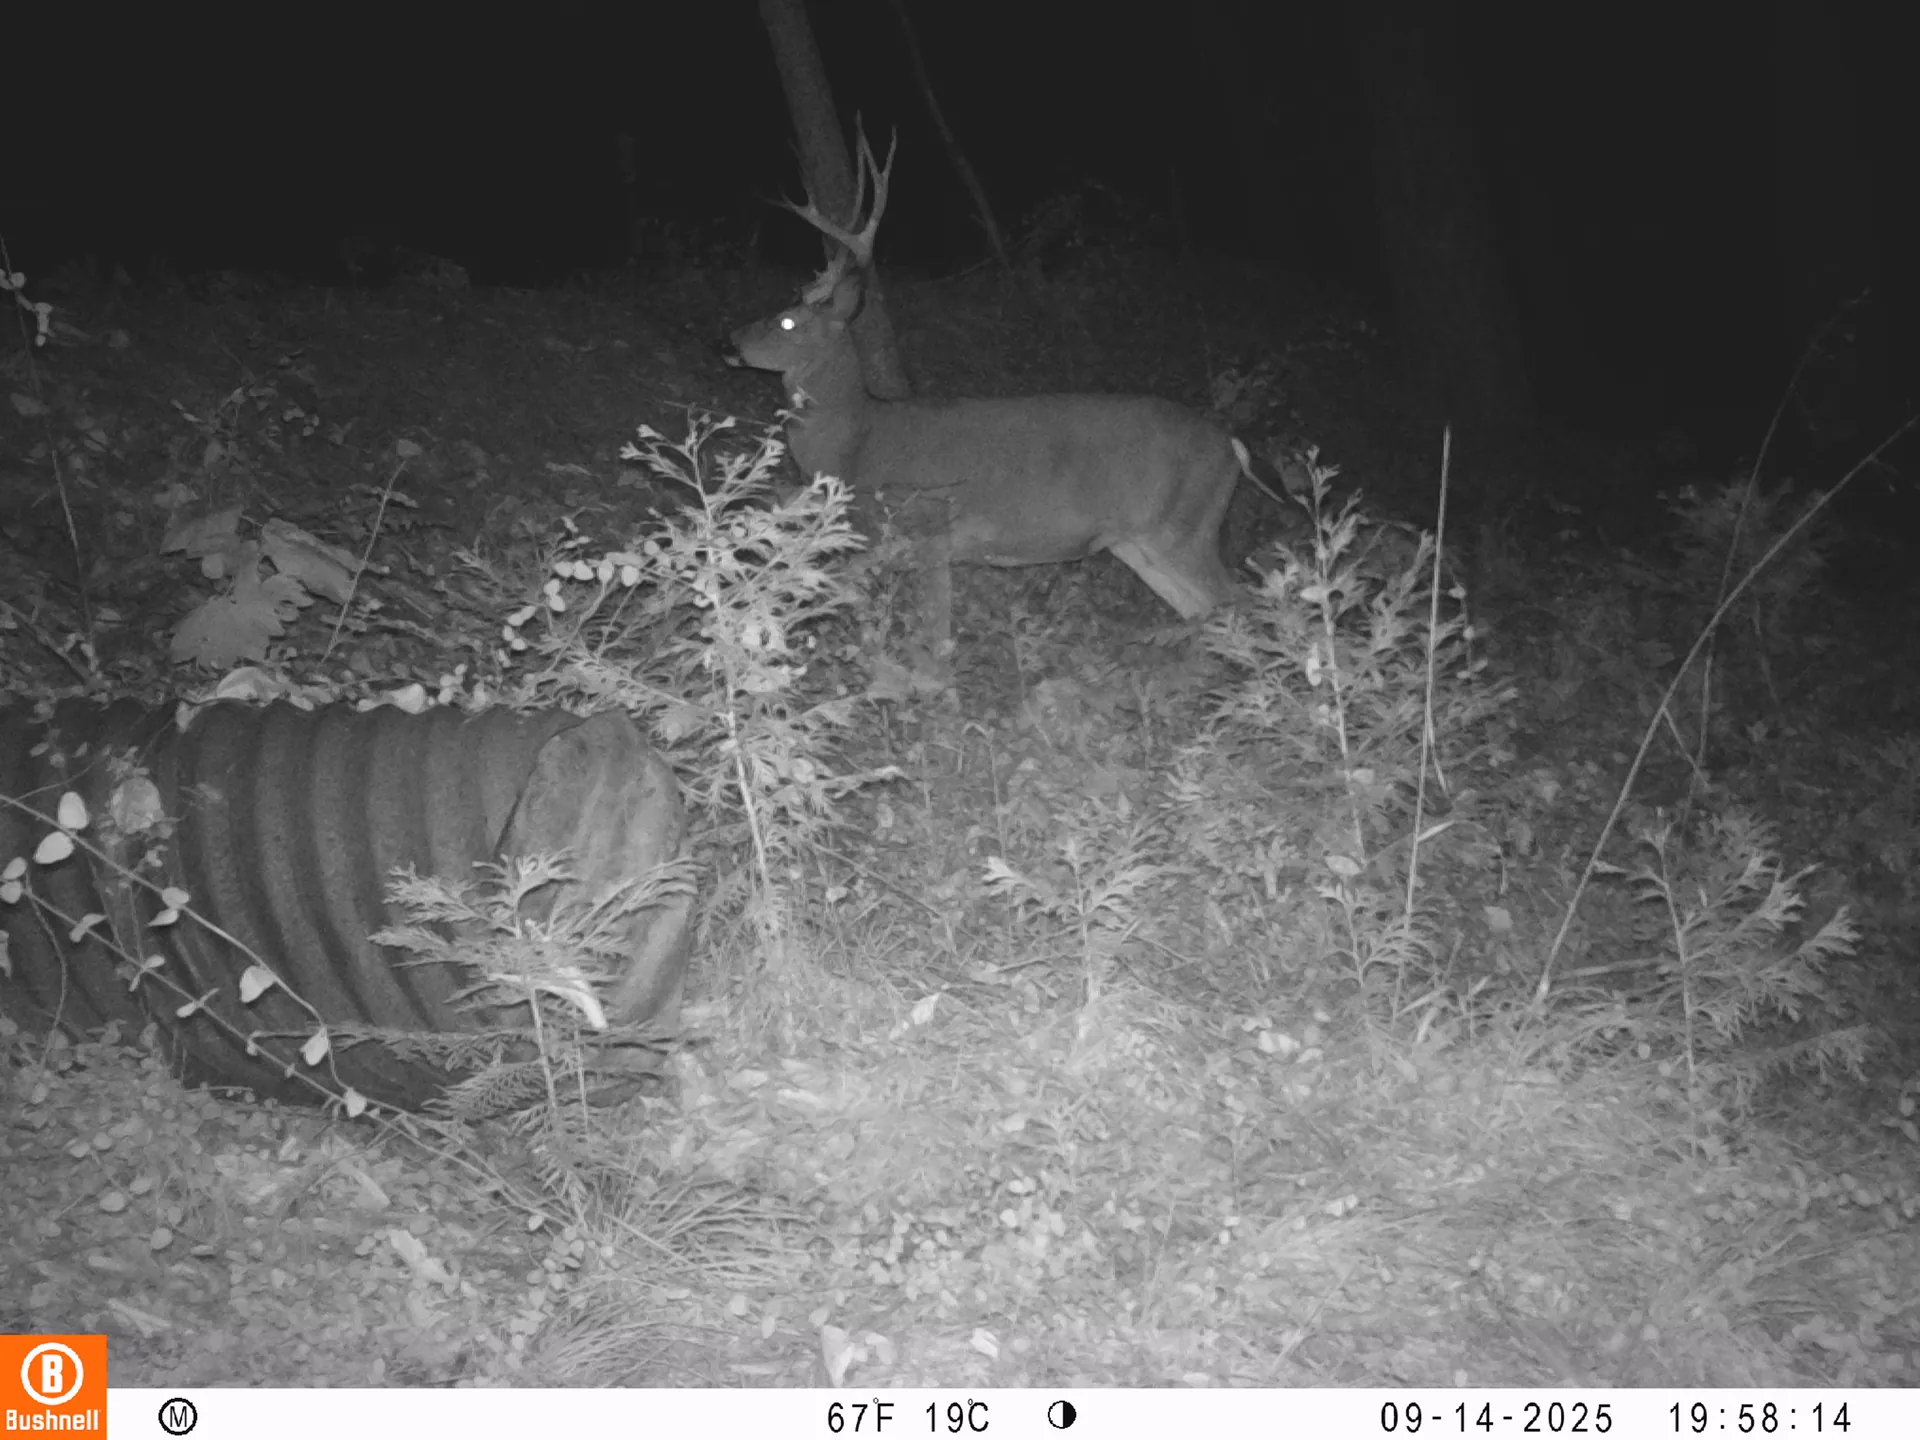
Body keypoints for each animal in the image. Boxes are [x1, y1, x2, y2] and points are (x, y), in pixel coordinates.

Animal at [727, 131, 1272, 663]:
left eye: (788, 322)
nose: (729, 341)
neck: (856, 443)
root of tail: (1233, 447)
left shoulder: (927, 528)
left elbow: (932, 640)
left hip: (1184, 528)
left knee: (1237, 600)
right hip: (1139, 543)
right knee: (1203, 611)